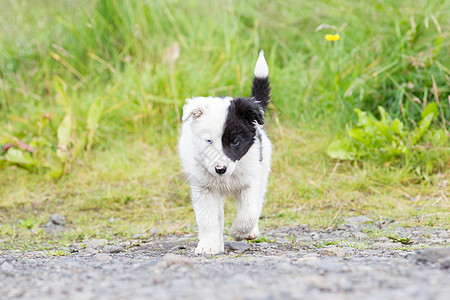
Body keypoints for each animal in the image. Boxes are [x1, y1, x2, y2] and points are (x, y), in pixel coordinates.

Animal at [178, 51, 270, 255]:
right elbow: (208, 219)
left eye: (235, 141)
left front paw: (239, 232)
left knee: (258, 202)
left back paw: (251, 231)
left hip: (263, 167)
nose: (220, 169)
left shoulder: (250, 181)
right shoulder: (203, 188)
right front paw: (209, 246)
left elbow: (249, 212)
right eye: (208, 141)